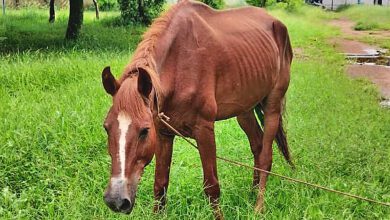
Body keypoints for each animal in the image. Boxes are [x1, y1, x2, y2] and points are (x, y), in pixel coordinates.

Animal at [100, 0, 292, 219]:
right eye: (106, 127)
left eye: (144, 131)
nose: (116, 200)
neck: (179, 65)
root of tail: (277, 23)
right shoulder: (164, 133)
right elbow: (160, 185)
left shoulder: (204, 130)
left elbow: (212, 187)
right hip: (244, 109)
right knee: (258, 146)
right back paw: (251, 193)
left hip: (272, 106)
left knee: (266, 156)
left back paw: (258, 206)